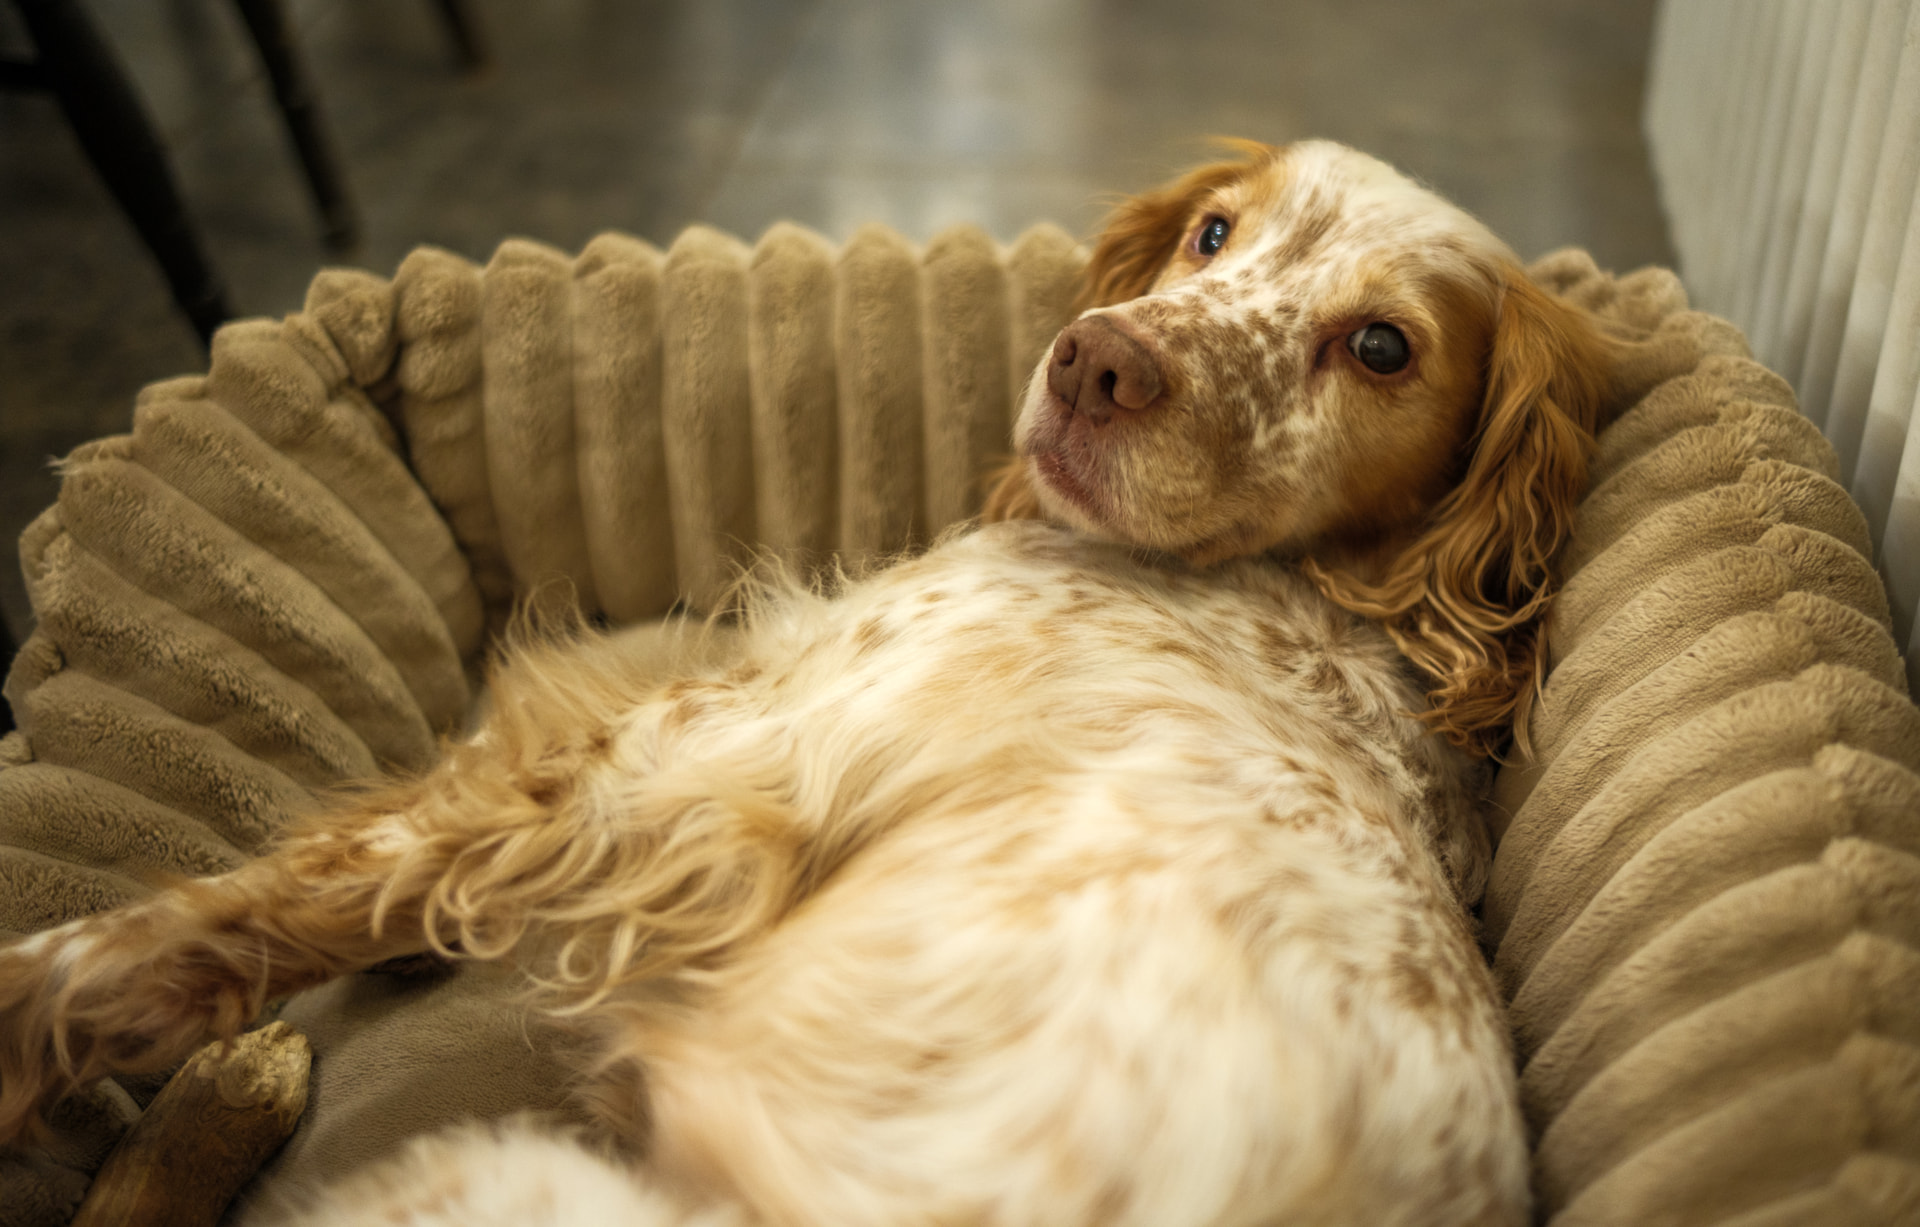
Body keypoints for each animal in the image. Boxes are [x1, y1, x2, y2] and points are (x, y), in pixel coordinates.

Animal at [0, 139, 1619, 1226]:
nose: (1095, 360)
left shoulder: (699, 758)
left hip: (475, 1174)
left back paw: (232, 1088)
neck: (1317, 595)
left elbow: (255, 897)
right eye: (1216, 233)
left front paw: (42, 1004)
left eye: (1384, 345)